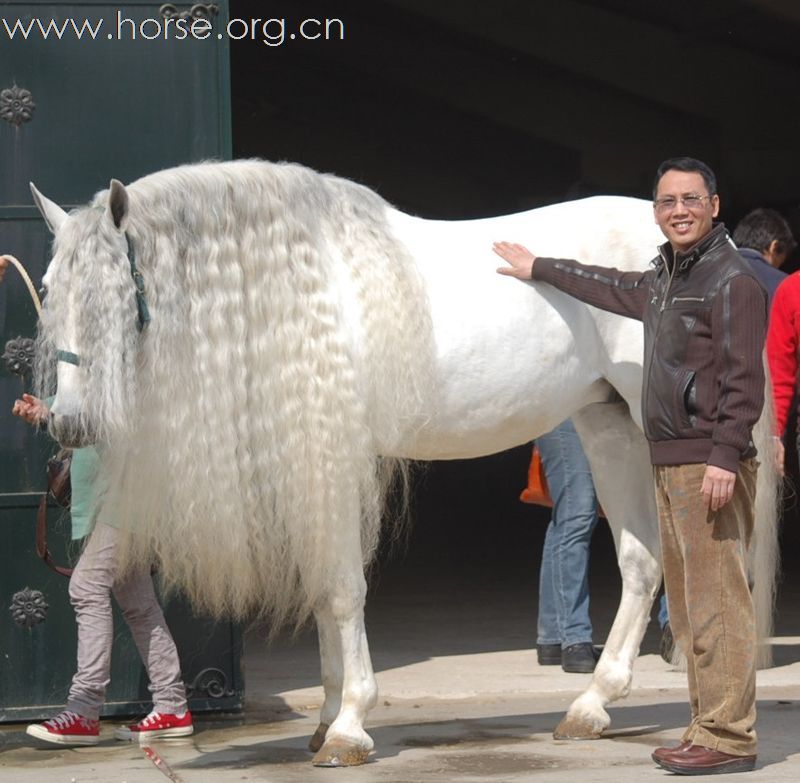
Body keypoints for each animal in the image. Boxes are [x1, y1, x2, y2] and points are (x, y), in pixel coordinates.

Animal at [29, 159, 776, 764]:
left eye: (113, 295)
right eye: (49, 286)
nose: (69, 423)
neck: (300, 288)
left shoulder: (336, 459)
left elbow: (341, 589)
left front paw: (349, 727)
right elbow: (325, 591)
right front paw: (326, 717)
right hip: (608, 425)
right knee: (642, 561)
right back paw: (591, 707)